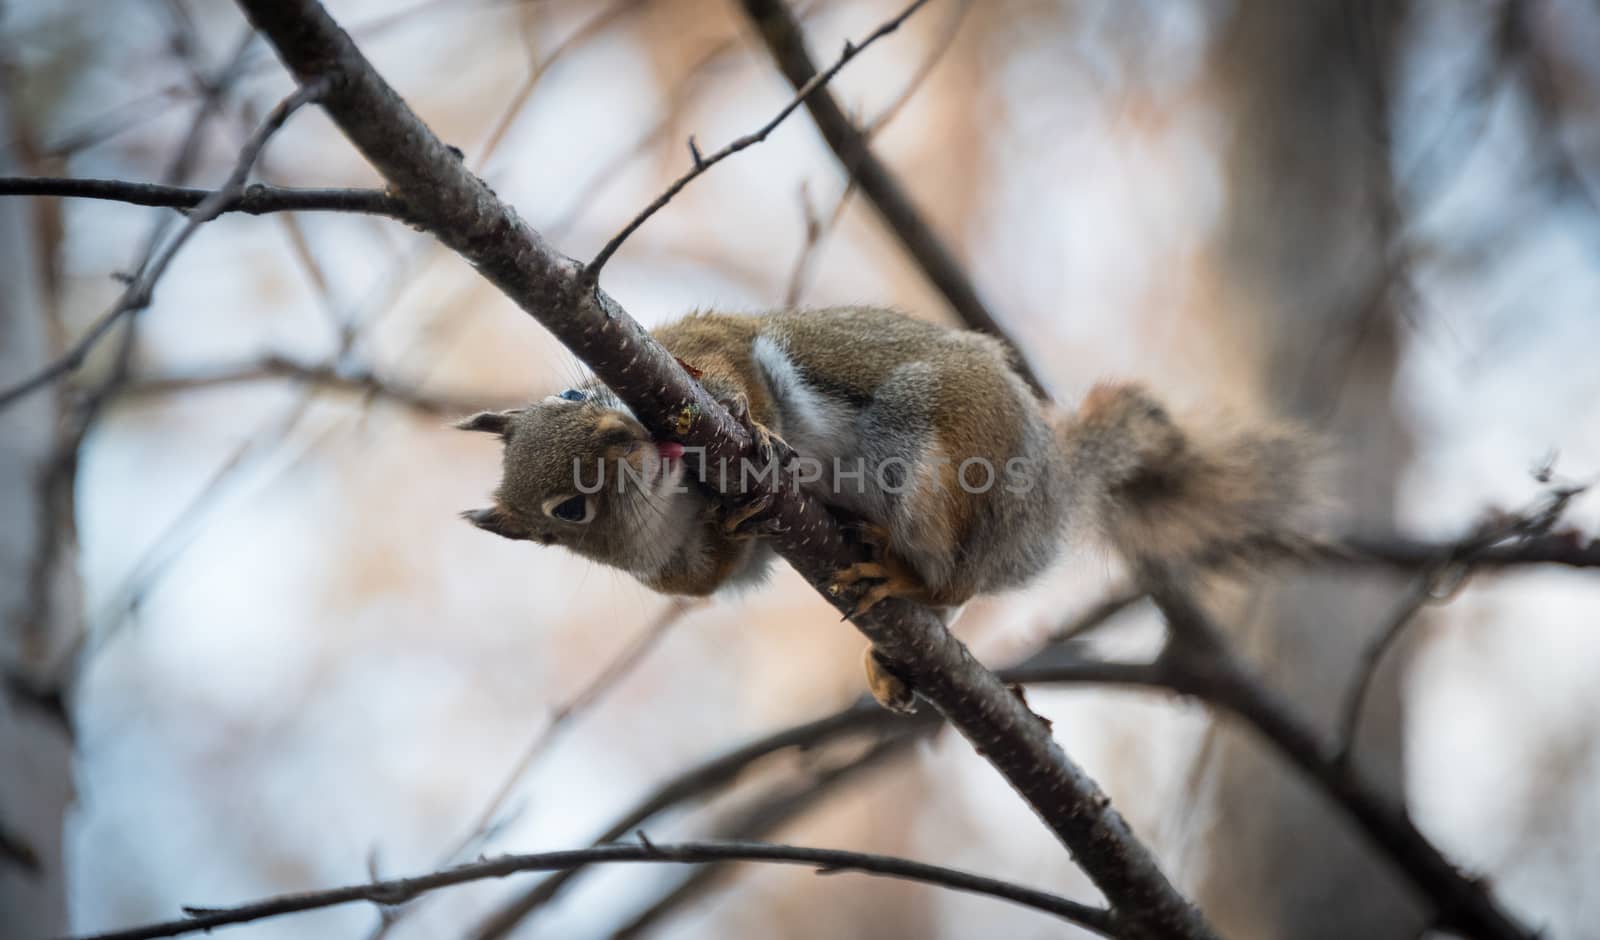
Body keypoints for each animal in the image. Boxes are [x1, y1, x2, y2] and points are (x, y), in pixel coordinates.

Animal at [457, 308, 1318, 712]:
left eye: (574, 393)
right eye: (567, 510)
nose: (625, 435)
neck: (673, 498)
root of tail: (1051, 486)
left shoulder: (695, 343)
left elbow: (731, 361)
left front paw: (746, 420)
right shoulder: (675, 574)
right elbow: (713, 575)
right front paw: (733, 525)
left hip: (945, 452)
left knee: (953, 571)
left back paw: (903, 576)